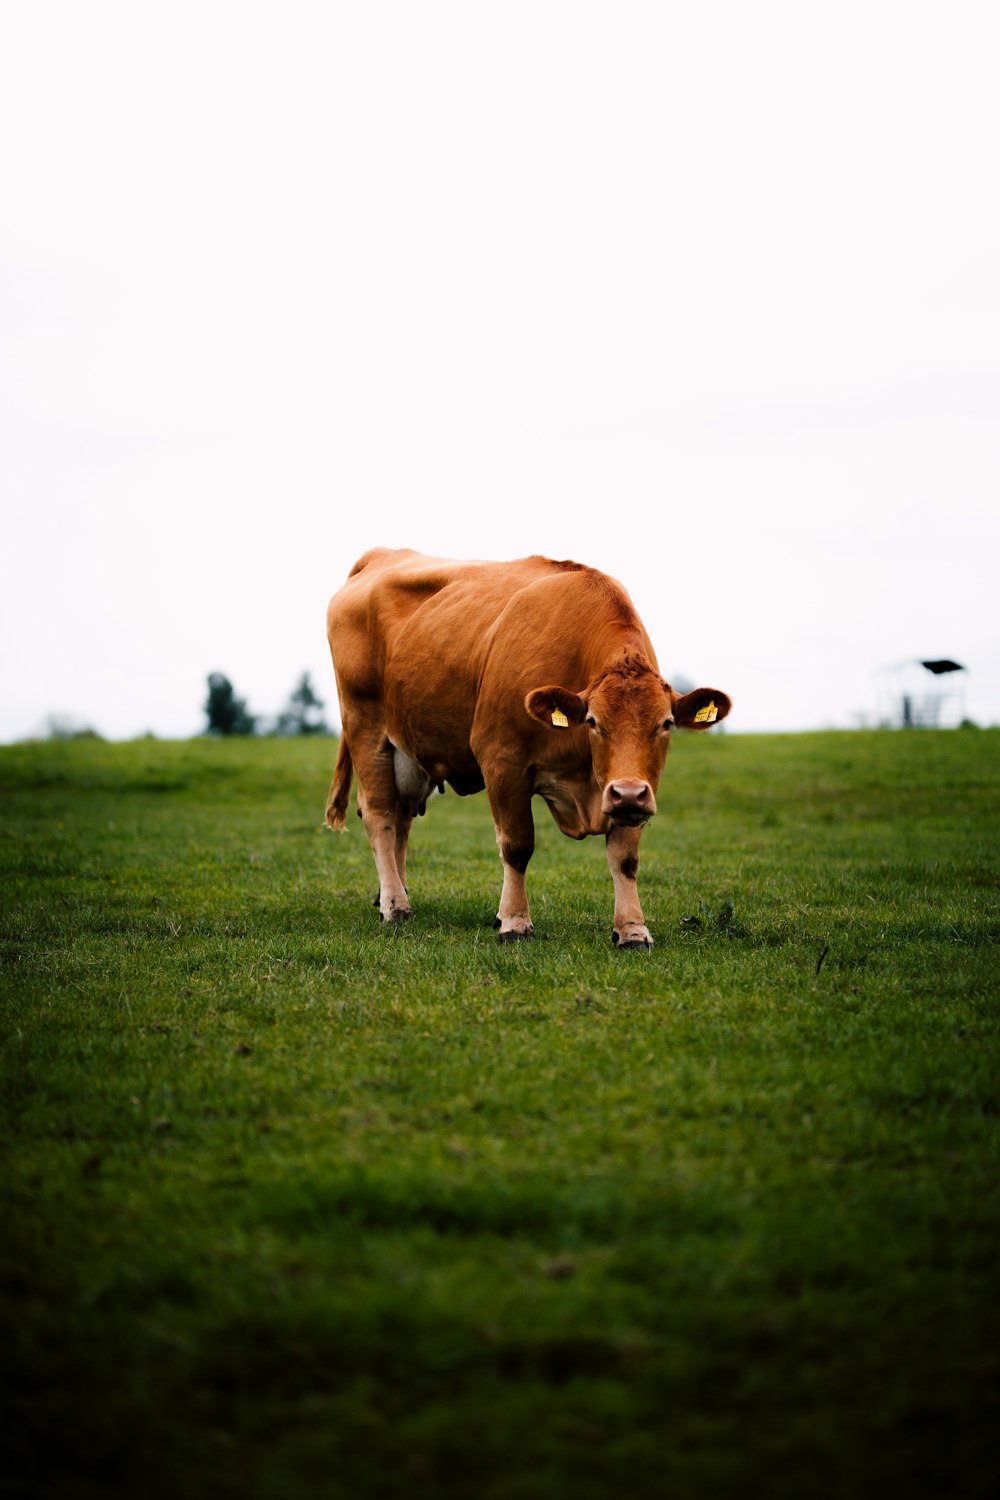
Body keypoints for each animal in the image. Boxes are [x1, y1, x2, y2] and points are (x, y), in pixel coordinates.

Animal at [325, 549, 731, 948]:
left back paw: (392, 893)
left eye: (665, 724)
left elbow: (625, 858)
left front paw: (632, 929)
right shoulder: (502, 761)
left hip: (408, 750)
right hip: (366, 727)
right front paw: (515, 922)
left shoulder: (636, 789)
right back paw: (395, 906)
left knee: (402, 816)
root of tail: (380, 557)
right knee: (380, 814)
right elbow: (517, 846)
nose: (628, 792)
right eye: (593, 722)